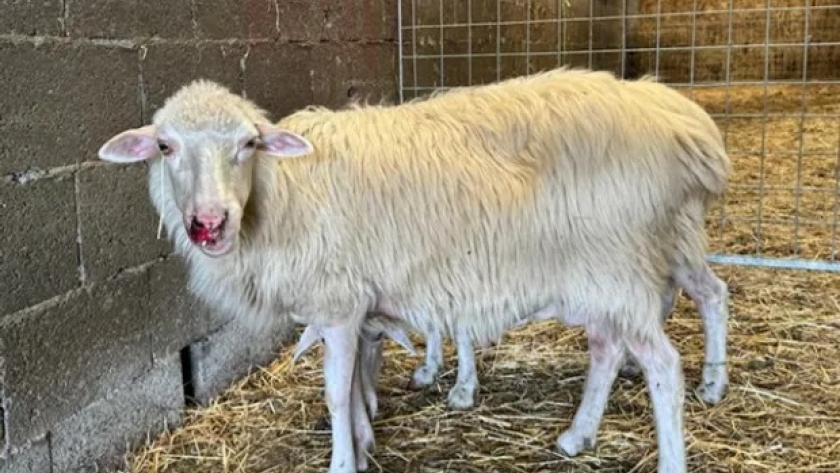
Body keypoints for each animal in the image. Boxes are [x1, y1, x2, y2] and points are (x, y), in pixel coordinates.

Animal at [97, 67, 728, 472]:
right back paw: (578, 435)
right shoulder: (356, 305)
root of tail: (684, 124)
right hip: (606, 272)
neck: (282, 193)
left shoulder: (339, 302)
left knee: (666, 361)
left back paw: (684, 428)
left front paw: (344, 459)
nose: (209, 223)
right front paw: (364, 440)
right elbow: (357, 380)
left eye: (249, 144)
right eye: (165, 147)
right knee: (612, 345)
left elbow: (336, 392)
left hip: (621, 263)